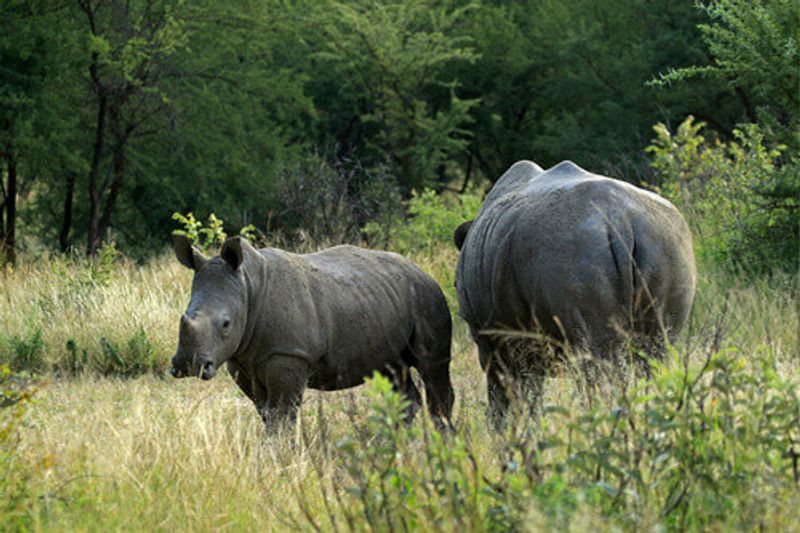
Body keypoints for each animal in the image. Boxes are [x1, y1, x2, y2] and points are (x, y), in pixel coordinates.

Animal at [171, 236, 454, 428]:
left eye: (226, 324)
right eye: (185, 314)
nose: (188, 365)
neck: (249, 286)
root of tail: (422, 271)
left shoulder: (289, 354)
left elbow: (282, 415)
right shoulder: (241, 359)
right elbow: (266, 413)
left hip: (427, 296)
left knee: (432, 368)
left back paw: (443, 441)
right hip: (385, 299)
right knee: (393, 371)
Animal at [454, 160, 696, 426]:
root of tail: (620, 220)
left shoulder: (488, 333)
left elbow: (508, 385)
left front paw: (507, 427)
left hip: (572, 251)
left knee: (596, 358)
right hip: (667, 243)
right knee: (657, 351)